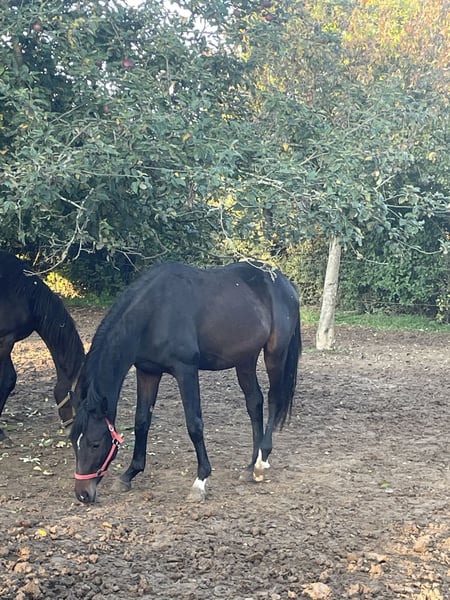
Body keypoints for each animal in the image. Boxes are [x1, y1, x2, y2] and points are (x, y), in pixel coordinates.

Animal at [70, 261, 301, 504]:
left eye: (95, 443)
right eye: (73, 441)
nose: (83, 494)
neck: (154, 313)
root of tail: (286, 284)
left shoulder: (186, 370)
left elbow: (194, 425)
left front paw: (200, 481)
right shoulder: (148, 372)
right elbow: (142, 421)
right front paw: (129, 474)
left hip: (275, 354)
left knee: (274, 400)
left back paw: (261, 462)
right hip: (245, 360)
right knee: (254, 403)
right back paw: (250, 466)